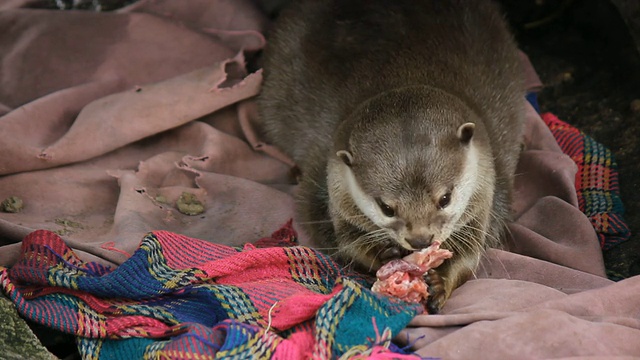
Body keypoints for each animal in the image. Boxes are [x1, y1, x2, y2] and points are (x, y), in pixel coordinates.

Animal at [256, 0, 524, 312]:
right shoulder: (331, 191)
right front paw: (382, 256)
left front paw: (441, 282)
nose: (420, 240)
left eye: (445, 198)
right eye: (386, 207)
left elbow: (471, 254)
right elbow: (343, 243)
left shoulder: (485, 202)